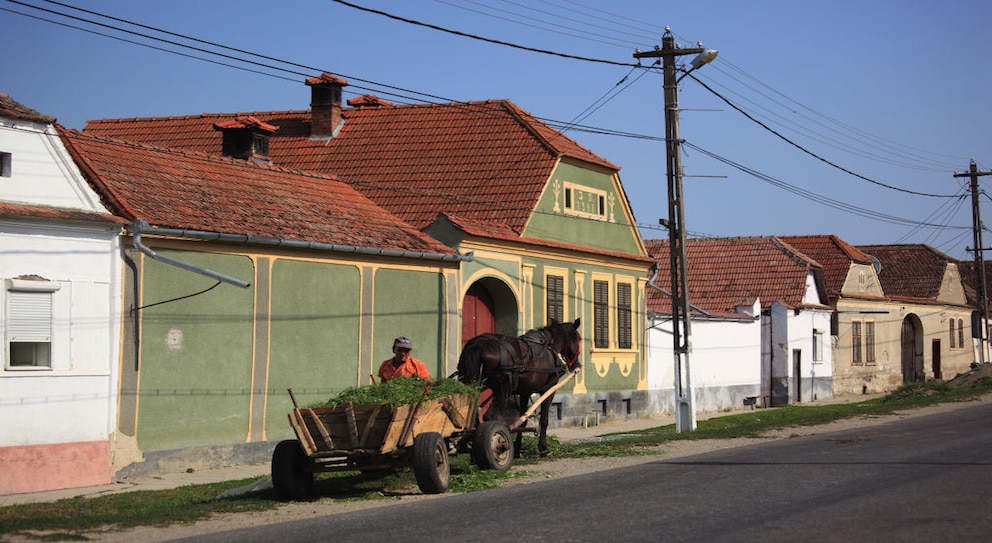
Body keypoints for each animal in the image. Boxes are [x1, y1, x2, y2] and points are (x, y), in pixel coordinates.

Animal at [458, 318, 580, 460]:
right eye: (579, 338)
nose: (577, 364)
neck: (551, 346)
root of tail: (478, 344)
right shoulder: (548, 390)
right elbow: (544, 420)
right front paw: (544, 449)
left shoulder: (524, 392)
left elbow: (523, 421)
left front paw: (517, 449)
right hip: (501, 391)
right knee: (489, 417)